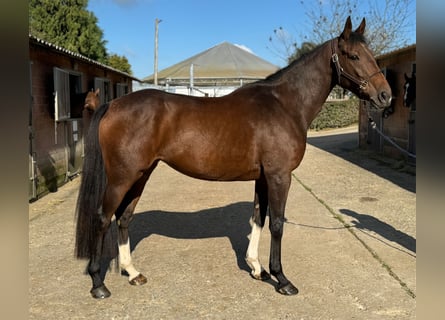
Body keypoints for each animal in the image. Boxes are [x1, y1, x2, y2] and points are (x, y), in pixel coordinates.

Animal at [76, 16, 392, 298]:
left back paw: (132, 272)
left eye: (371, 55)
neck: (284, 105)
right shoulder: (280, 177)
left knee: (124, 217)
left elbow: (258, 218)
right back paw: (98, 284)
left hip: (141, 174)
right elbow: (276, 223)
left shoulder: (263, 178)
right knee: (103, 218)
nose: (386, 96)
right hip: (122, 177)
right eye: (354, 55)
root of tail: (112, 104)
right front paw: (282, 279)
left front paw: (256, 268)